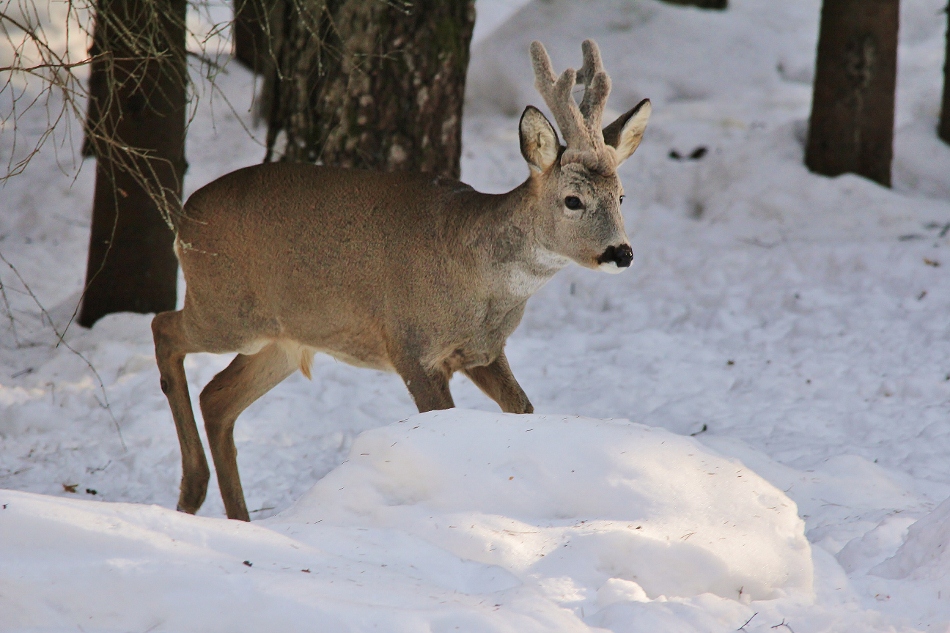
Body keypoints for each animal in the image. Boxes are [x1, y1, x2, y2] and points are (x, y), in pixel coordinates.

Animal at [152, 40, 652, 524]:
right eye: (573, 200)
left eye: (622, 196)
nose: (622, 253)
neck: (477, 280)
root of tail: (183, 219)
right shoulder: (410, 345)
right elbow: (444, 418)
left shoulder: (484, 351)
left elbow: (524, 409)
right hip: (222, 308)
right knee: (164, 328)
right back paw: (192, 489)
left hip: (283, 340)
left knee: (216, 398)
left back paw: (234, 518)